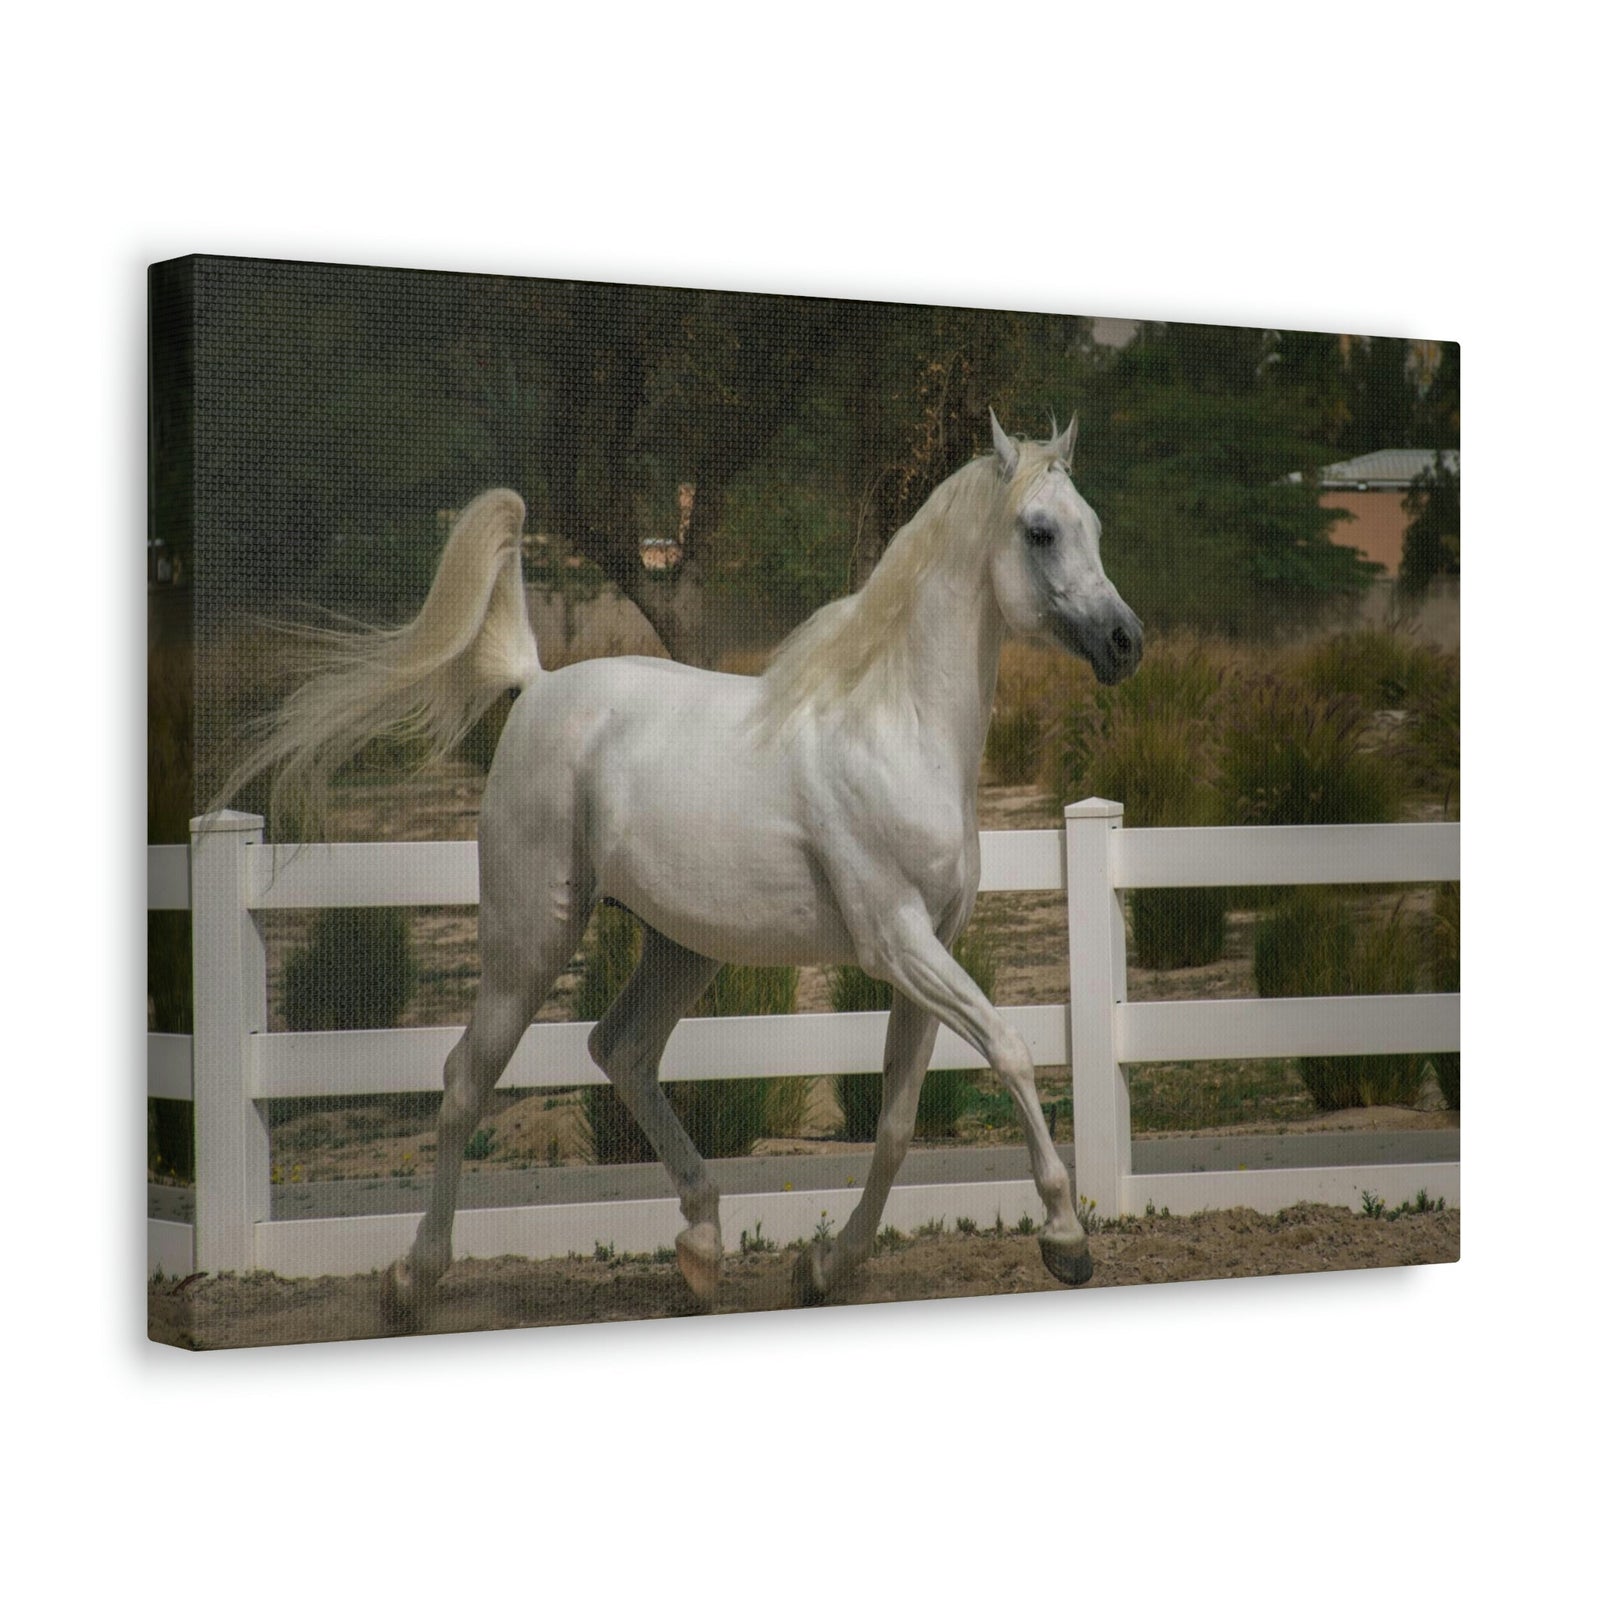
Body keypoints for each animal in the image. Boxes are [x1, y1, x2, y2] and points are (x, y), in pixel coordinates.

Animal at [228, 412, 1142, 1322]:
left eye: (1097, 526)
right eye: (1040, 530)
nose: (1125, 642)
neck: (896, 729)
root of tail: (539, 684)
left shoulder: (932, 945)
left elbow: (895, 1124)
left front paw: (823, 1268)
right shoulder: (897, 943)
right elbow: (1012, 1051)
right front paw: (1066, 1238)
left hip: (681, 946)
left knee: (621, 1050)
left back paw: (701, 1246)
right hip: (532, 936)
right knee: (466, 1081)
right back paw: (411, 1280)